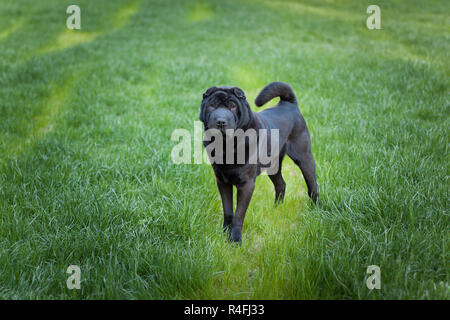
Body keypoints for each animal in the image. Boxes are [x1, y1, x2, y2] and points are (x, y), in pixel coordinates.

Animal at [199, 82, 318, 242]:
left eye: (232, 106)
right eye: (212, 105)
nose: (221, 121)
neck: (227, 145)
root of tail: (289, 104)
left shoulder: (246, 184)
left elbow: (239, 214)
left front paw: (235, 240)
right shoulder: (222, 181)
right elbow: (228, 210)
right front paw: (224, 233)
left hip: (304, 158)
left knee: (312, 186)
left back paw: (314, 212)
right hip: (273, 166)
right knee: (281, 184)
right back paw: (276, 210)